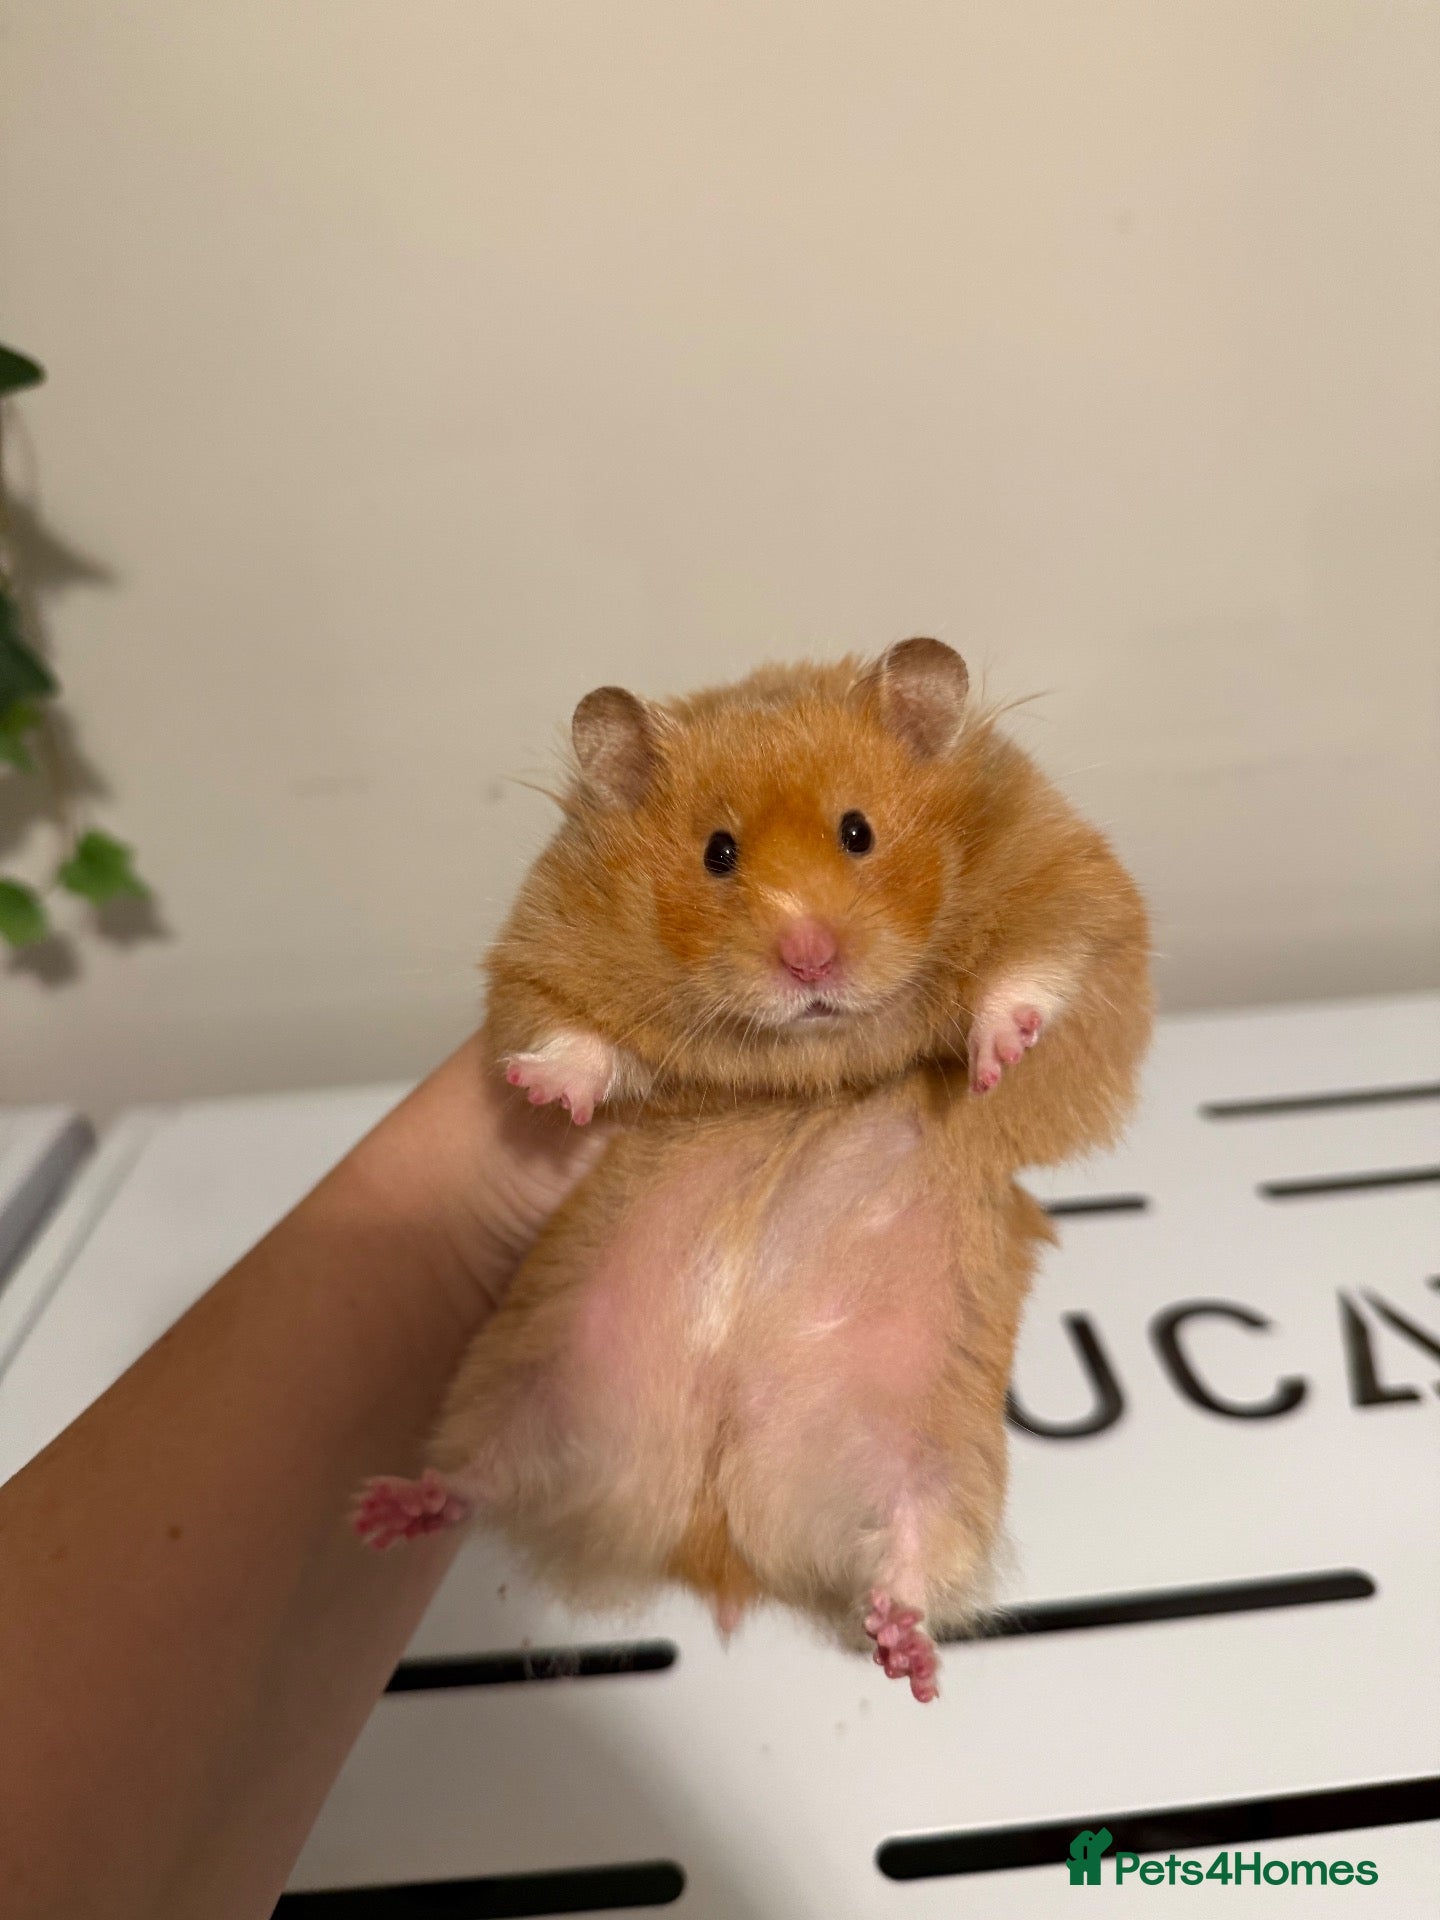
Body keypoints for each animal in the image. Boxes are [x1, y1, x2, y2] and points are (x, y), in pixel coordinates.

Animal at [355, 638, 1153, 1701]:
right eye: (717, 853)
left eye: (858, 832)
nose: (807, 960)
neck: (805, 1060)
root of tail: (714, 1540)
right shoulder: (548, 959)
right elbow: (582, 1042)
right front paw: (541, 1091)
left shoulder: (1073, 893)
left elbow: (1036, 975)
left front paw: (997, 1056)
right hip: (516, 1381)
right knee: (479, 1476)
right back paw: (386, 1512)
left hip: (942, 1454)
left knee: (911, 1549)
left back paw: (907, 1654)